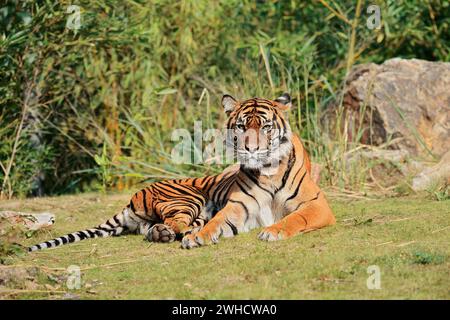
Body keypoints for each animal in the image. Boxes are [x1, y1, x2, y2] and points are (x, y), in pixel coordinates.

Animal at [27, 93, 334, 252]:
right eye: (241, 126)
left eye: (266, 127)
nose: (250, 149)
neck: (268, 170)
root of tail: (132, 197)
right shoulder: (239, 208)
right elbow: (218, 221)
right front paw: (199, 238)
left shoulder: (316, 205)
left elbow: (295, 218)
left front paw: (273, 231)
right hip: (187, 198)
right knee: (174, 223)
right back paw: (178, 233)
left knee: (156, 226)